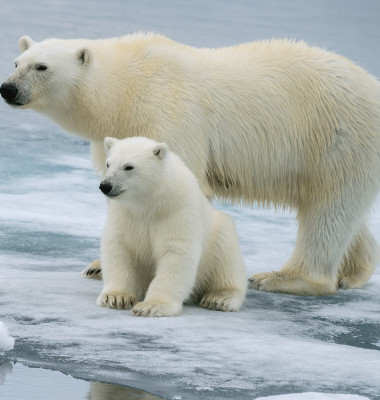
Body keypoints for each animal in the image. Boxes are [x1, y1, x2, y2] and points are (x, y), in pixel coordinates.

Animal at [0, 33, 380, 294]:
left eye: (42, 67)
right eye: (17, 62)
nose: (8, 89)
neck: (126, 89)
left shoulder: (167, 114)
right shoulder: (117, 131)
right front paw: (97, 265)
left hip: (339, 135)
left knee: (329, 209)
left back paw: (284, 278)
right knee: (338, 207)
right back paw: (352, 273)